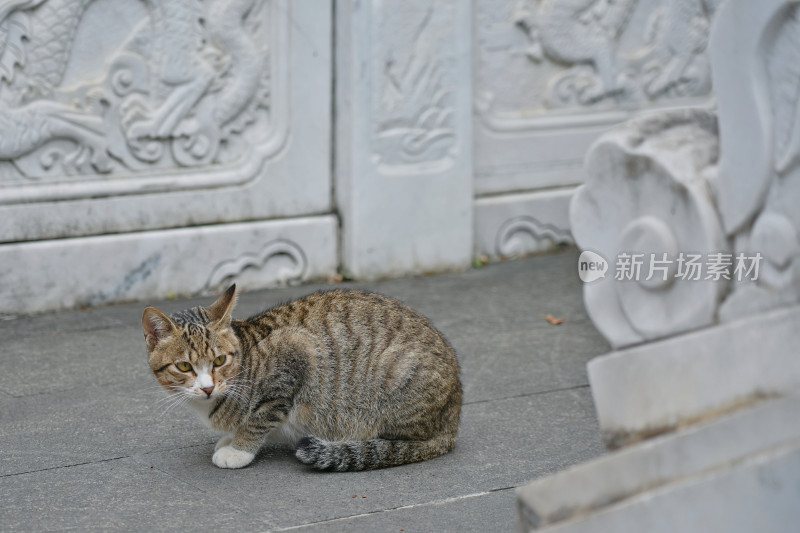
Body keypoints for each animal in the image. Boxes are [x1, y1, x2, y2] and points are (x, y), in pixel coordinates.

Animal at [144, 286, 462, 470]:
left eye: (220, 361)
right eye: (184, 366)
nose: (208, 388)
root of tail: (453, 418)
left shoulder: (295, 354)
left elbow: (259, 419)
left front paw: (239, 449)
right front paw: (231, 437)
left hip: (395, 371)